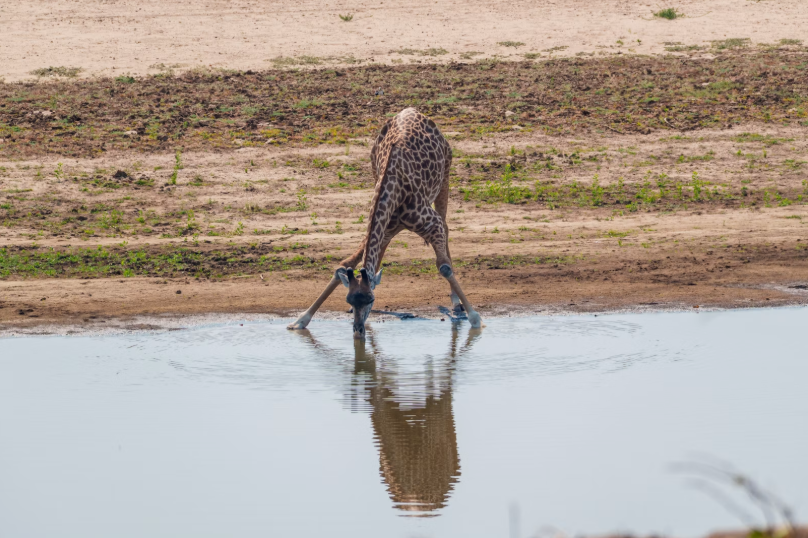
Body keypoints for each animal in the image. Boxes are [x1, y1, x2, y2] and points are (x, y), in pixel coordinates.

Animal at [287, 107, 482, 338]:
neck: (393, 192)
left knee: (447, 227)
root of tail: (413, 110)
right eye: (349, 299)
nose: (358, 331)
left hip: (445, 177)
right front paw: (300, 320)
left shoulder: (432, 224)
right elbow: (345, 264)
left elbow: (444, 267)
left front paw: (475, 318)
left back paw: (455, 303)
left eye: (370, 300)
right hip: (388, 214)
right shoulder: (382, 225)